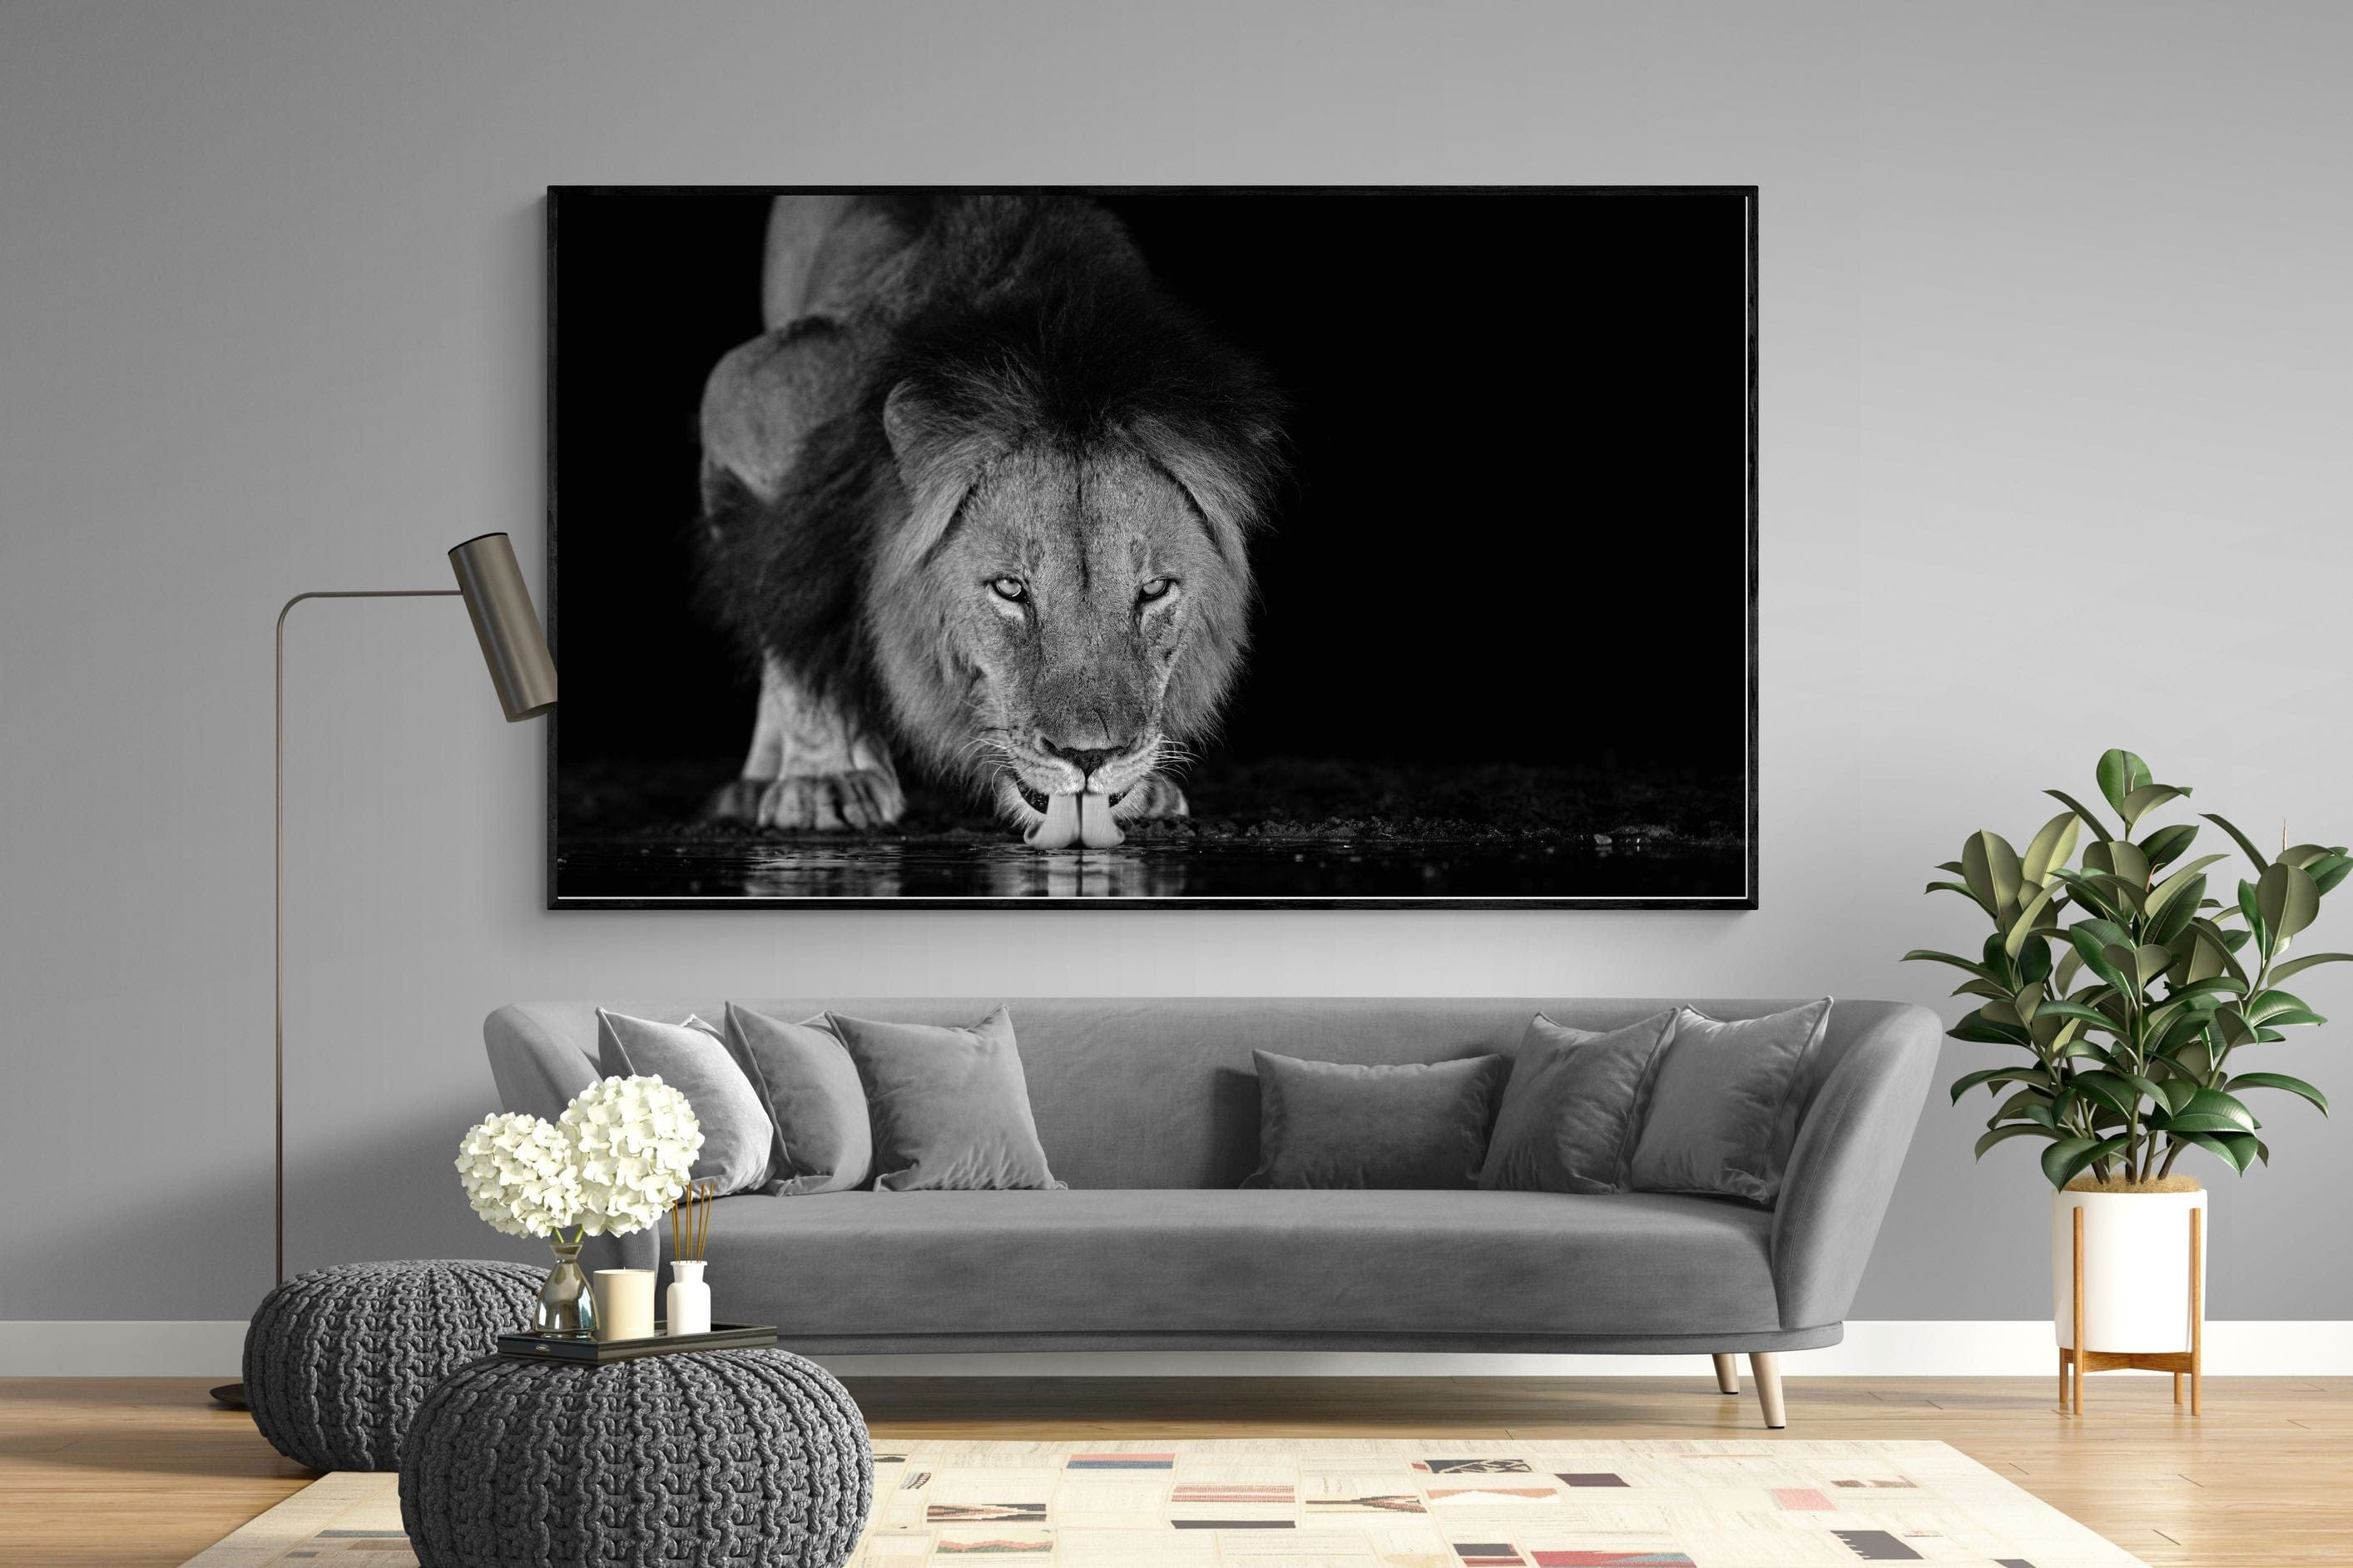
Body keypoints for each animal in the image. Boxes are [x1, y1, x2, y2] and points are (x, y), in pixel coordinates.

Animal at [694, 194, 1284, 849]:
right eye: (1010, 589)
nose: (1090, 757)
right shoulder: (746, 397)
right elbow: (794, 604)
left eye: (1154, 589)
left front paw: (1144, 786)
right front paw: (824, 780)